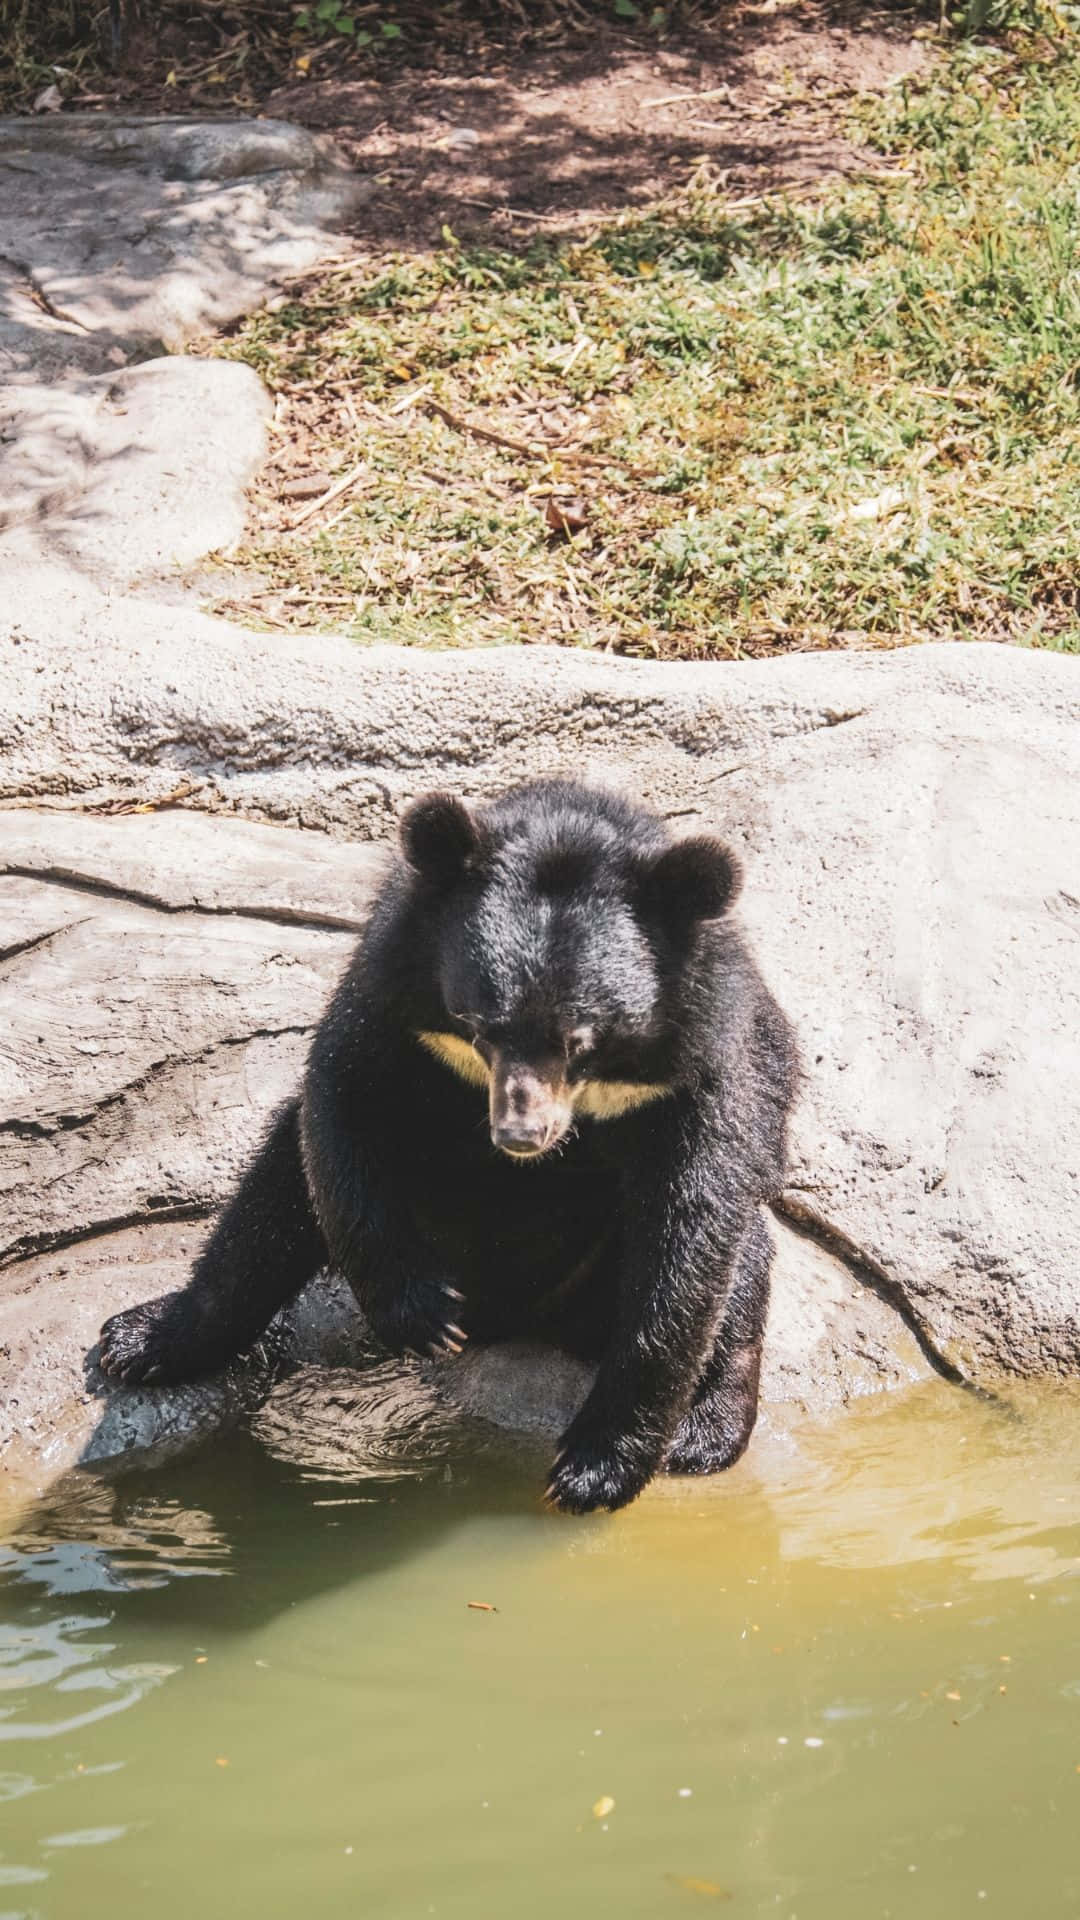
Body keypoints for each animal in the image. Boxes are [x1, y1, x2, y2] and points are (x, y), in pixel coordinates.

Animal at [98, 778, 799, 1515]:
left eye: (580, 1041)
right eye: (481, 1028)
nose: (521, 1136)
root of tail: (516, 1319)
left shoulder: (702, 1059)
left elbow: (688, 1236)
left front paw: (594, 1470)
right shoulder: (392, 987)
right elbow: (344, 1105)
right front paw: (425, 1316)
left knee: (741, 1277)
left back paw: (703, 1435)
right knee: (270, 1205)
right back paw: (142, 1341)